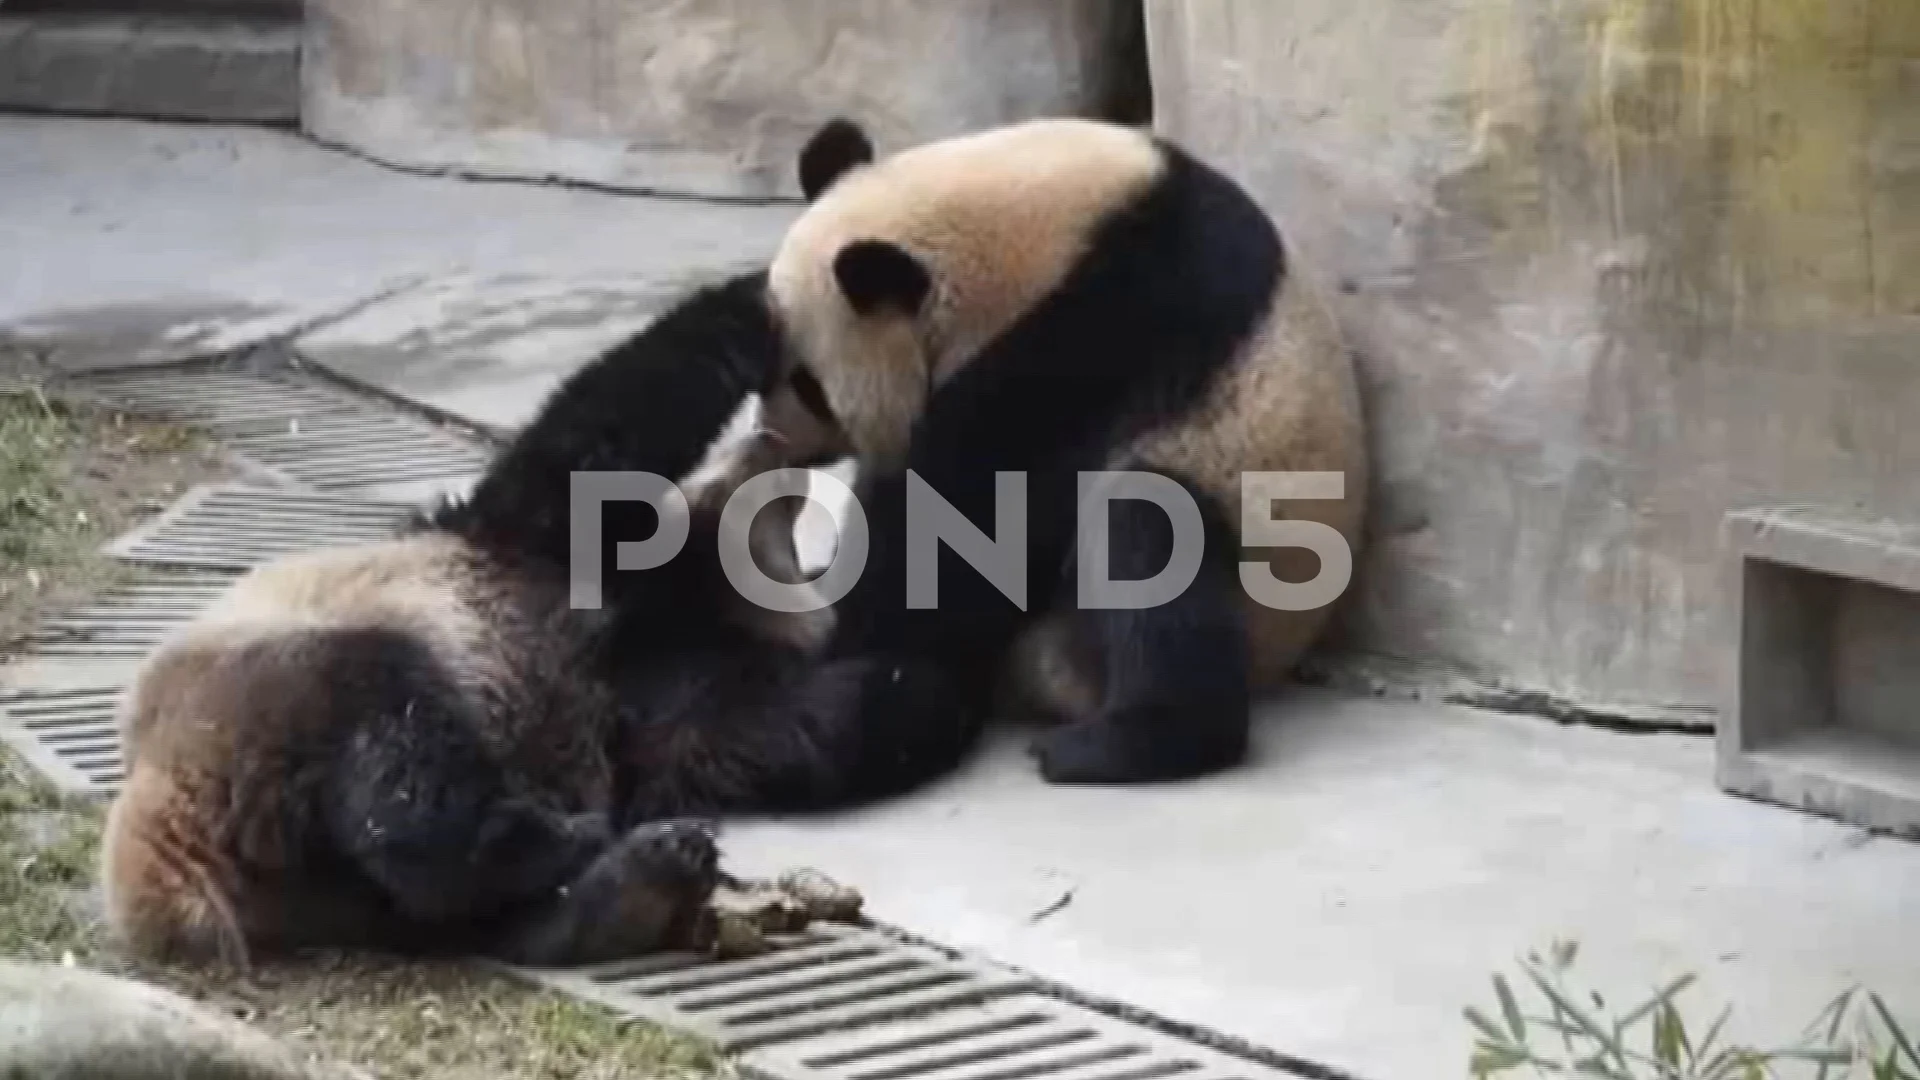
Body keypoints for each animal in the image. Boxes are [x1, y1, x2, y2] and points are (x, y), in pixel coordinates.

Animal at [99, 270, 983, 968]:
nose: (786, 458)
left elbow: (763, 728)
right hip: (283, 675)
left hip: (329, 886)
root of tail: (163, 828)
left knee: (452, 904)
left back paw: (636, 877)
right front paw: (751, 299)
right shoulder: (543, 546)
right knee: (402, 757)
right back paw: (565, 839)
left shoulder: (660, 694)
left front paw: (916, 687)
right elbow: (595, 443)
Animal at [764, 117, 1367, 787]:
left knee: (1147, 531)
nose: (776, 438)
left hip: (1234, 566)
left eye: (809, 385)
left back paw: (1119, 744)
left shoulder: (1097, 333)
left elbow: (965, 516)